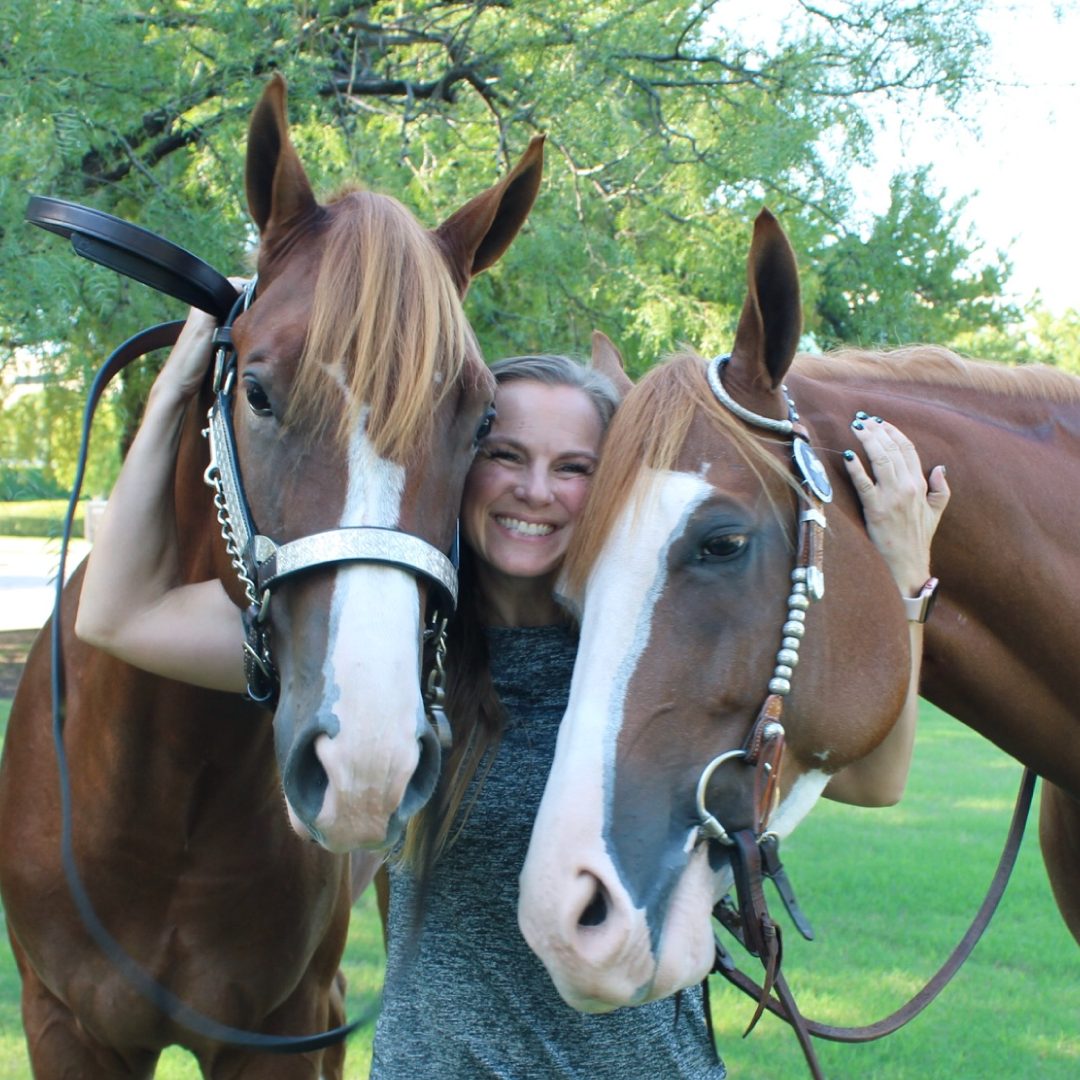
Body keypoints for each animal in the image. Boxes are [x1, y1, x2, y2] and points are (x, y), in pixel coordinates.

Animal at [0, 71, 540, 1075]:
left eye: (483, 420)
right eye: (255, 389)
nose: (366, 759)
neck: (162, 789)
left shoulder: (286, 1029)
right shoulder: (64, 1025)